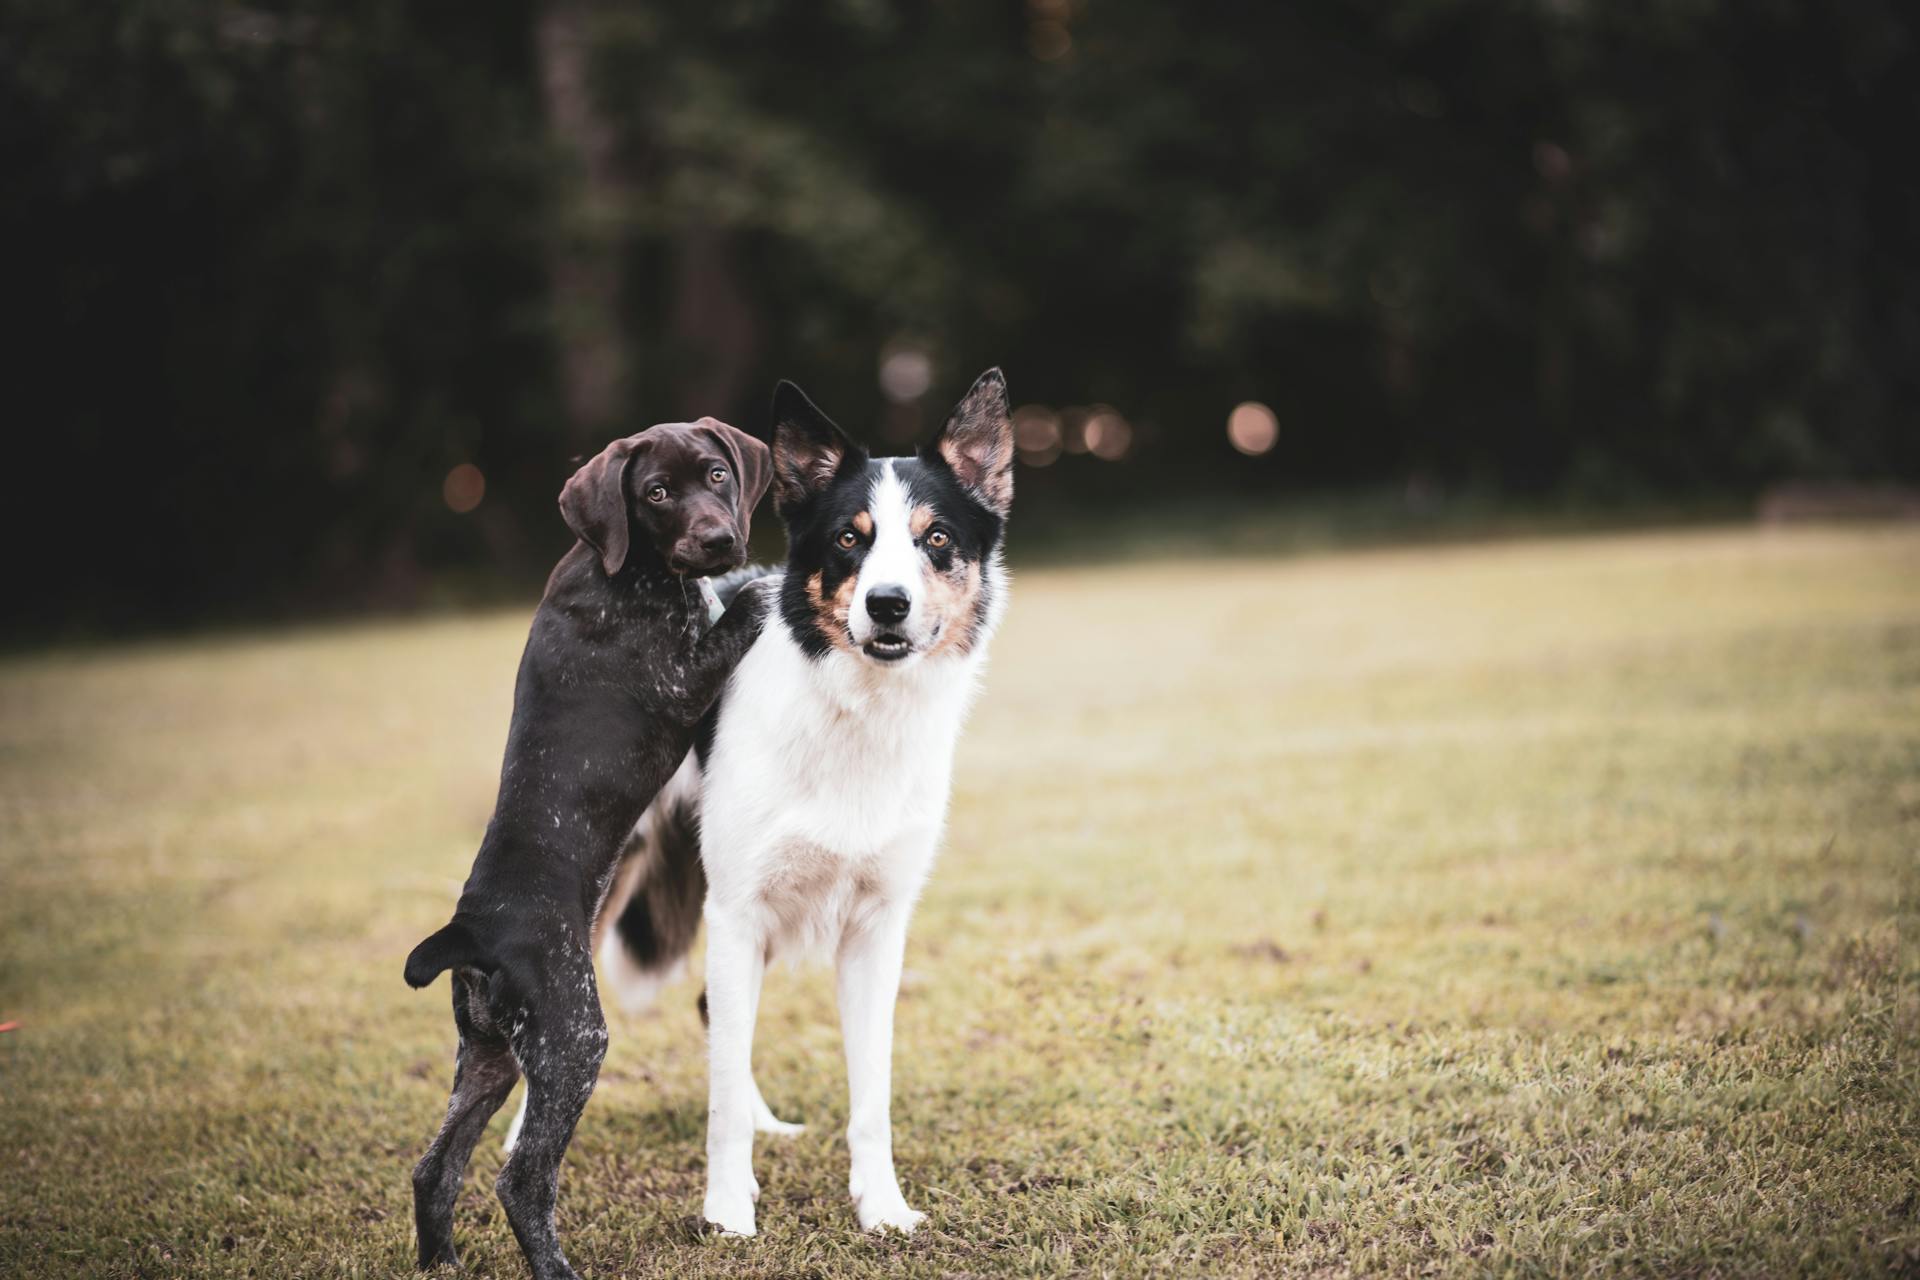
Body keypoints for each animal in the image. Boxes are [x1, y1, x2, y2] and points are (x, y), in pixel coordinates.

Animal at [599, 364, 1021, 1235]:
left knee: (715, 1016)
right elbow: (719, 1101)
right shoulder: (737, 910)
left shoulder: (876, 929)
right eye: (848, 540)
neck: (855, 711)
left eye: (936, 540)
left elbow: (871, 1095)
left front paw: (882, 1207)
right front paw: (727, 1211)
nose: (887, 604)